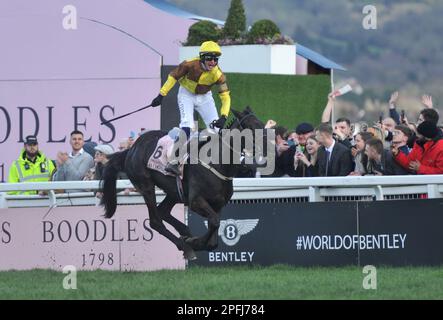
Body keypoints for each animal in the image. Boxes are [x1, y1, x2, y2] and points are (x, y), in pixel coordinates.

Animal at [101, 107, 264, 260]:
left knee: (163, 211)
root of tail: (131, 149)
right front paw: (194, 242)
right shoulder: (195, 201)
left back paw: (185, 234)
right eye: (250, 127)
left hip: (174, 192)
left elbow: (213, 237)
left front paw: (195, 241)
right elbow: (214, 222)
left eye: (261, 125)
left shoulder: (218, 204)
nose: (267, 145)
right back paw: (185, 245)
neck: (217, 163)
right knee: (155, 221)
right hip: (145, 185)